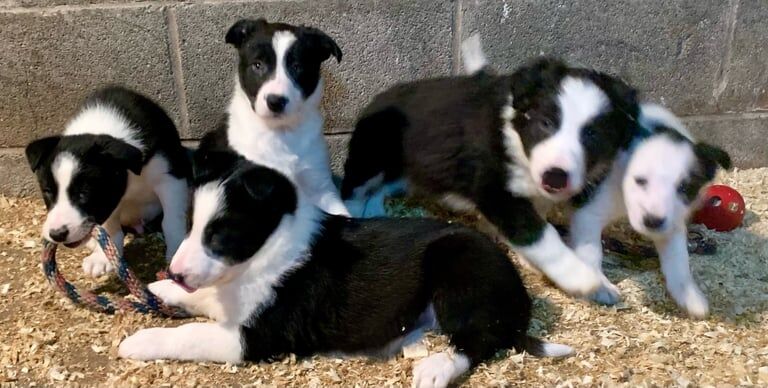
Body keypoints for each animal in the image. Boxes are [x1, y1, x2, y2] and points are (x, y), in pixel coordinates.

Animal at [24, 86, 190, 278]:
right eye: (48, 192)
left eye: (84, 194)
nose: (57, 234)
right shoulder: (110, 202)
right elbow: (111, 228)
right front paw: (102, 258)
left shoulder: (169, 178)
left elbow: (172, 219)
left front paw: (178, 250)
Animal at [120, 148, 572, 388]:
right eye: (191, 226)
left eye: (220, 235)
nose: (176, 272)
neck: (265, 252)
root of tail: (519, 297)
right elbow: (204, 297)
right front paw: (160, 291)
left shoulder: (254, 337)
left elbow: (190, 334)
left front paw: (139, 341)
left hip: (459, 270)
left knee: (477, 340)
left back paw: (437, 368)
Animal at [340, 54, 640, 298]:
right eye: (546, 124)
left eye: (592, 135)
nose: (555, 177)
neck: (517, 143)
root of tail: (380, 96)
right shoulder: (496, 193)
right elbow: (542, 236)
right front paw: (581, 277)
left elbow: (539, 229)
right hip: (371, 158)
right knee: (354, 188)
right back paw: (353, 216)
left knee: (381, 188)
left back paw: (375, 210)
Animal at [568, 104, 732, 318]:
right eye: (640, 180)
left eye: (684, 187)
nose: (652, 221)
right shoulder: (588, 215)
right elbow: (591, 252)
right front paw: (600, 286)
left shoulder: (672, 224)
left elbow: (678, 262)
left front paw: (689, 295)